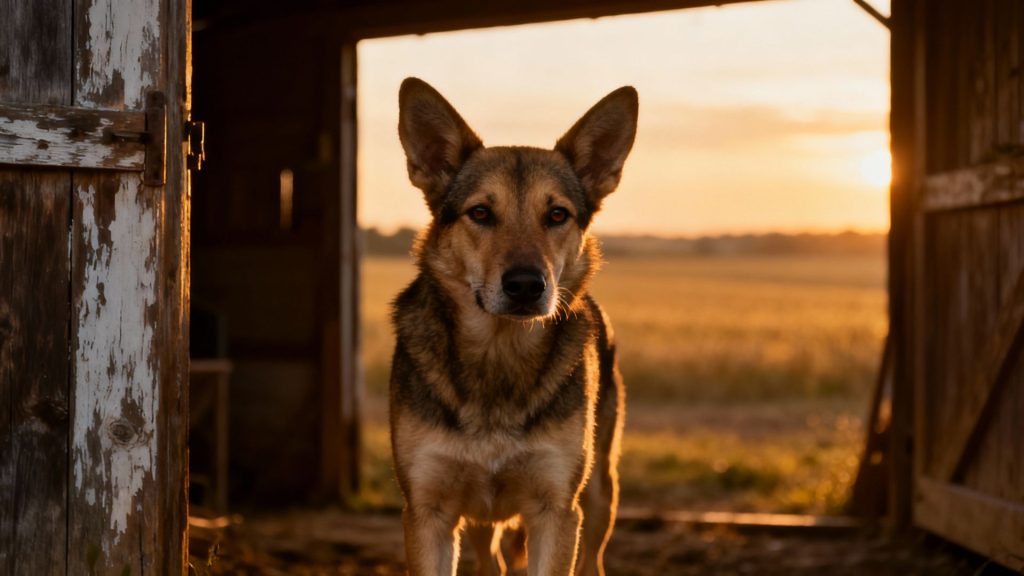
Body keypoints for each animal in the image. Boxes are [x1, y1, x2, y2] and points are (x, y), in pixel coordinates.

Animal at [389, 77, 637, 576]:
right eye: (481, 213)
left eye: (557, 214)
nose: (526, 285)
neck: (498, 358)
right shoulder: (427, 512)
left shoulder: (556, 511)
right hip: (479, 522)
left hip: (599, 493)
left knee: (593, 556)